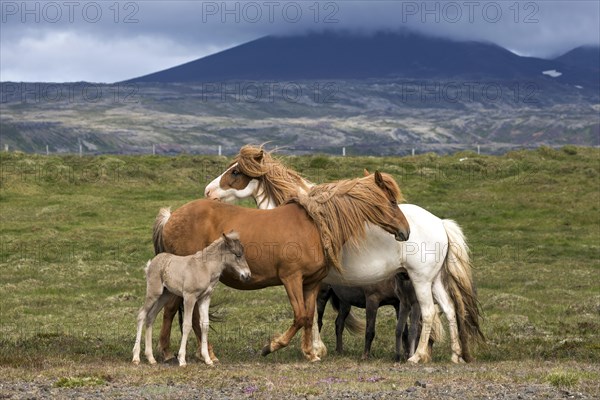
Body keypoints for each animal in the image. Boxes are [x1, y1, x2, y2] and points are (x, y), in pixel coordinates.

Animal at [152, 170, 410, 360]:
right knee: (179, 311)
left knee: (177, 310)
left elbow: (309, 316)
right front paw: (272, 346)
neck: (315, 225)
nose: (405, 231)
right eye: (392, 201)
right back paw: (188, 353)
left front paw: (310, 353)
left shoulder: (312, 283)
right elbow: (300, 316)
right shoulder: (291, 278)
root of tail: (171, 217)